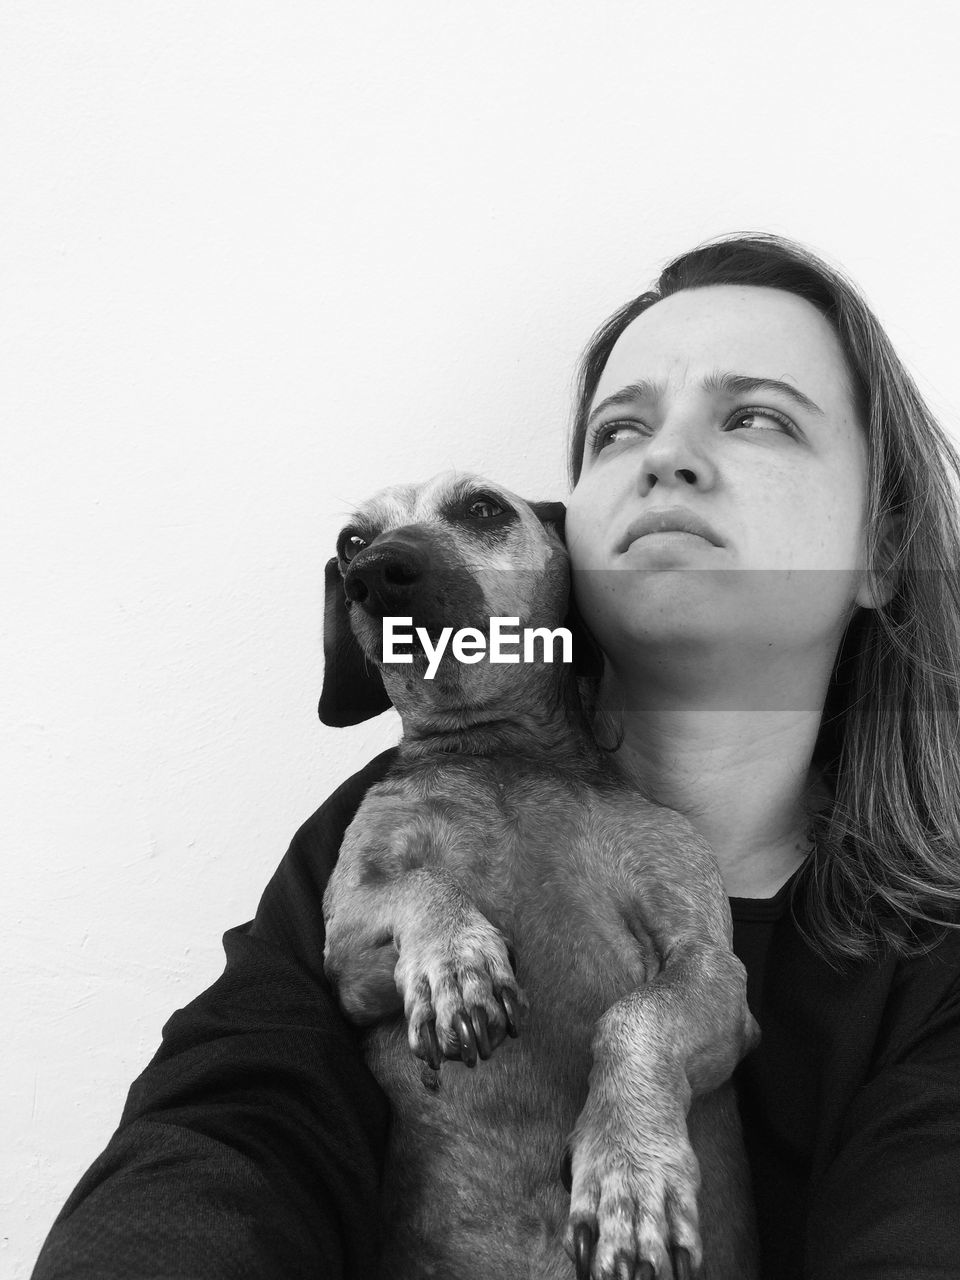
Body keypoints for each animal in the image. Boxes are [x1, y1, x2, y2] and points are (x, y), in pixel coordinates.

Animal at [320, 473, 762, 1280]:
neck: (503, 758)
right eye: (351, 540)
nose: (374, 572)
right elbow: (421, 887)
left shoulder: (713, 971)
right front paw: (454, 961)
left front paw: (628, 1171)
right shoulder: (349, 952)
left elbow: (636, 1016)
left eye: (482, 507)